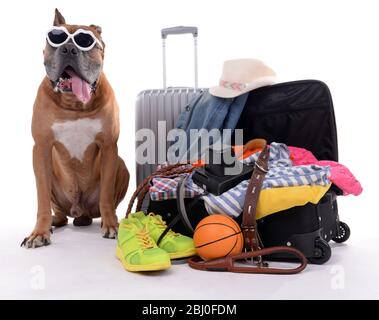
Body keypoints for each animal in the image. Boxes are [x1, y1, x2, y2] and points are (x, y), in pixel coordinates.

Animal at [21, 8, 130, 248]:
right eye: (56, 38)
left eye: (86, 42)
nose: (69, 48)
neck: (74, 105)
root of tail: (80, 211)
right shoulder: (41, 148)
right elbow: (41, 197)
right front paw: (39, 232)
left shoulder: (109, 147)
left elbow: (106, 195)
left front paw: (111, 225)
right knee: (59, 212)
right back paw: (55, 222)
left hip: (121, 167)